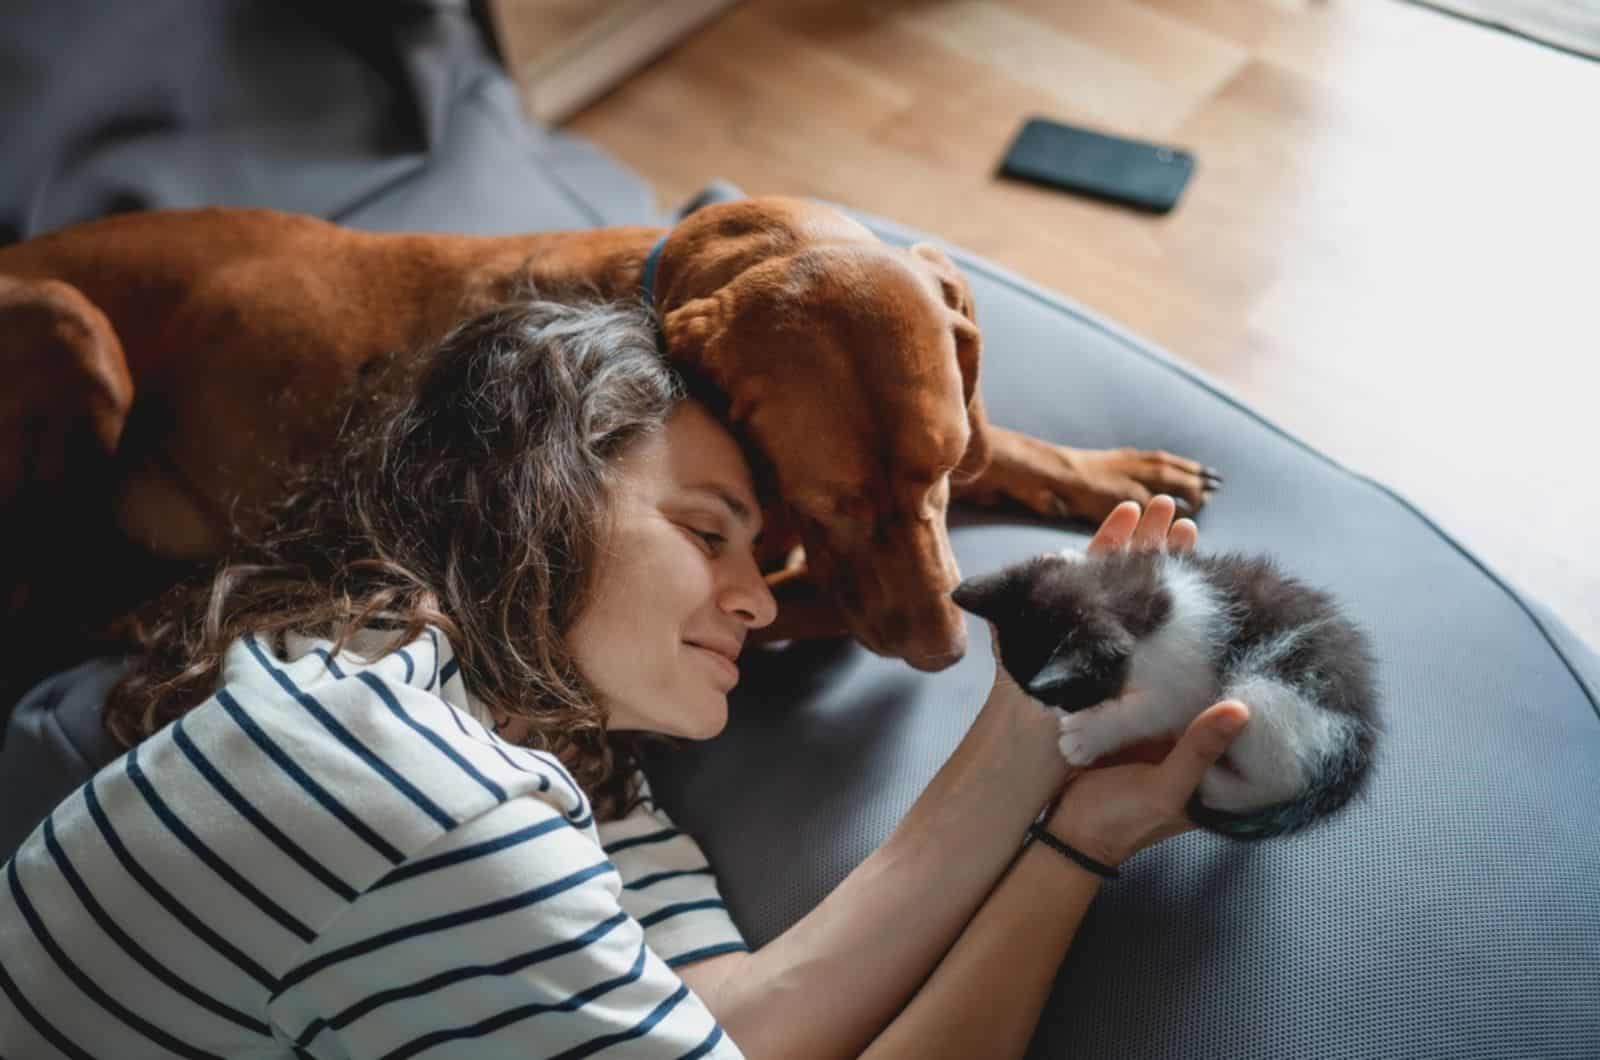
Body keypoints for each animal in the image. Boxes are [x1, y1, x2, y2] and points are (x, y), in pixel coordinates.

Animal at [0, 194, 1209, 685]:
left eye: (942, 473)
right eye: (829, 499)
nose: (945, 657)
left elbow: (1013, 447)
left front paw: (1115, 467)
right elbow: (801, 602)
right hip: (73, 326)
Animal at [953, 550, 1382, 845]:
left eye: (1068, 694)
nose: (1046, 707)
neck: (1135, 603)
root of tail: (1359, 744)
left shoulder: (1189, 684)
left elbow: (1151, 711)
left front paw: (1086, 735)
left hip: (1266, 695)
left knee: (1280, 777)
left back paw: (1214, 780)